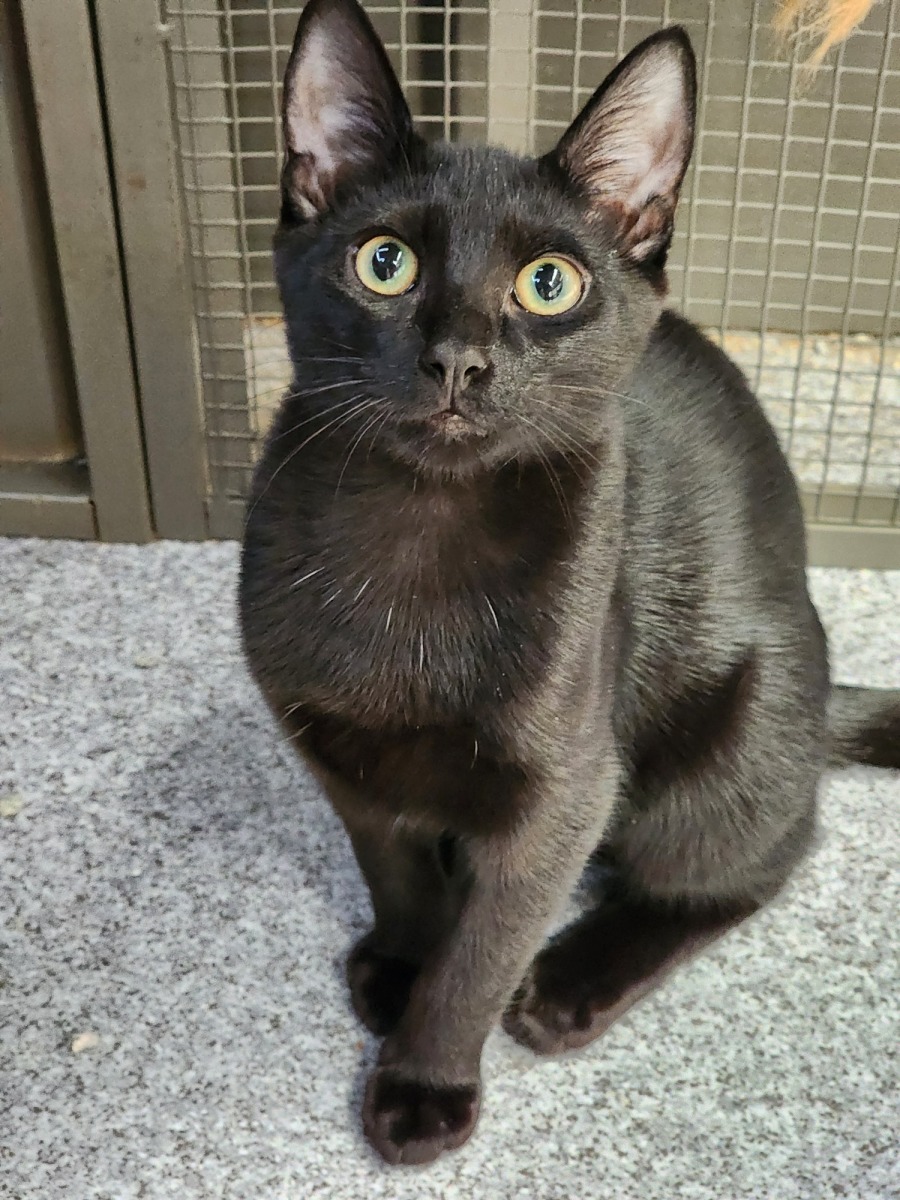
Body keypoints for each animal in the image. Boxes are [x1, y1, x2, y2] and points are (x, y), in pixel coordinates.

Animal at [238, 0, 900, 1167]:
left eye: (550, 284)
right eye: (383, 263)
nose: (458, 359)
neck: (417, 536)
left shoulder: (565, 788)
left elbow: (485, 951)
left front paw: (424, 1081)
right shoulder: (336, 748)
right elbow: (392, 869)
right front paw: (401, 961)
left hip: (741, 725)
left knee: (757, 859)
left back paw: (573, 980)